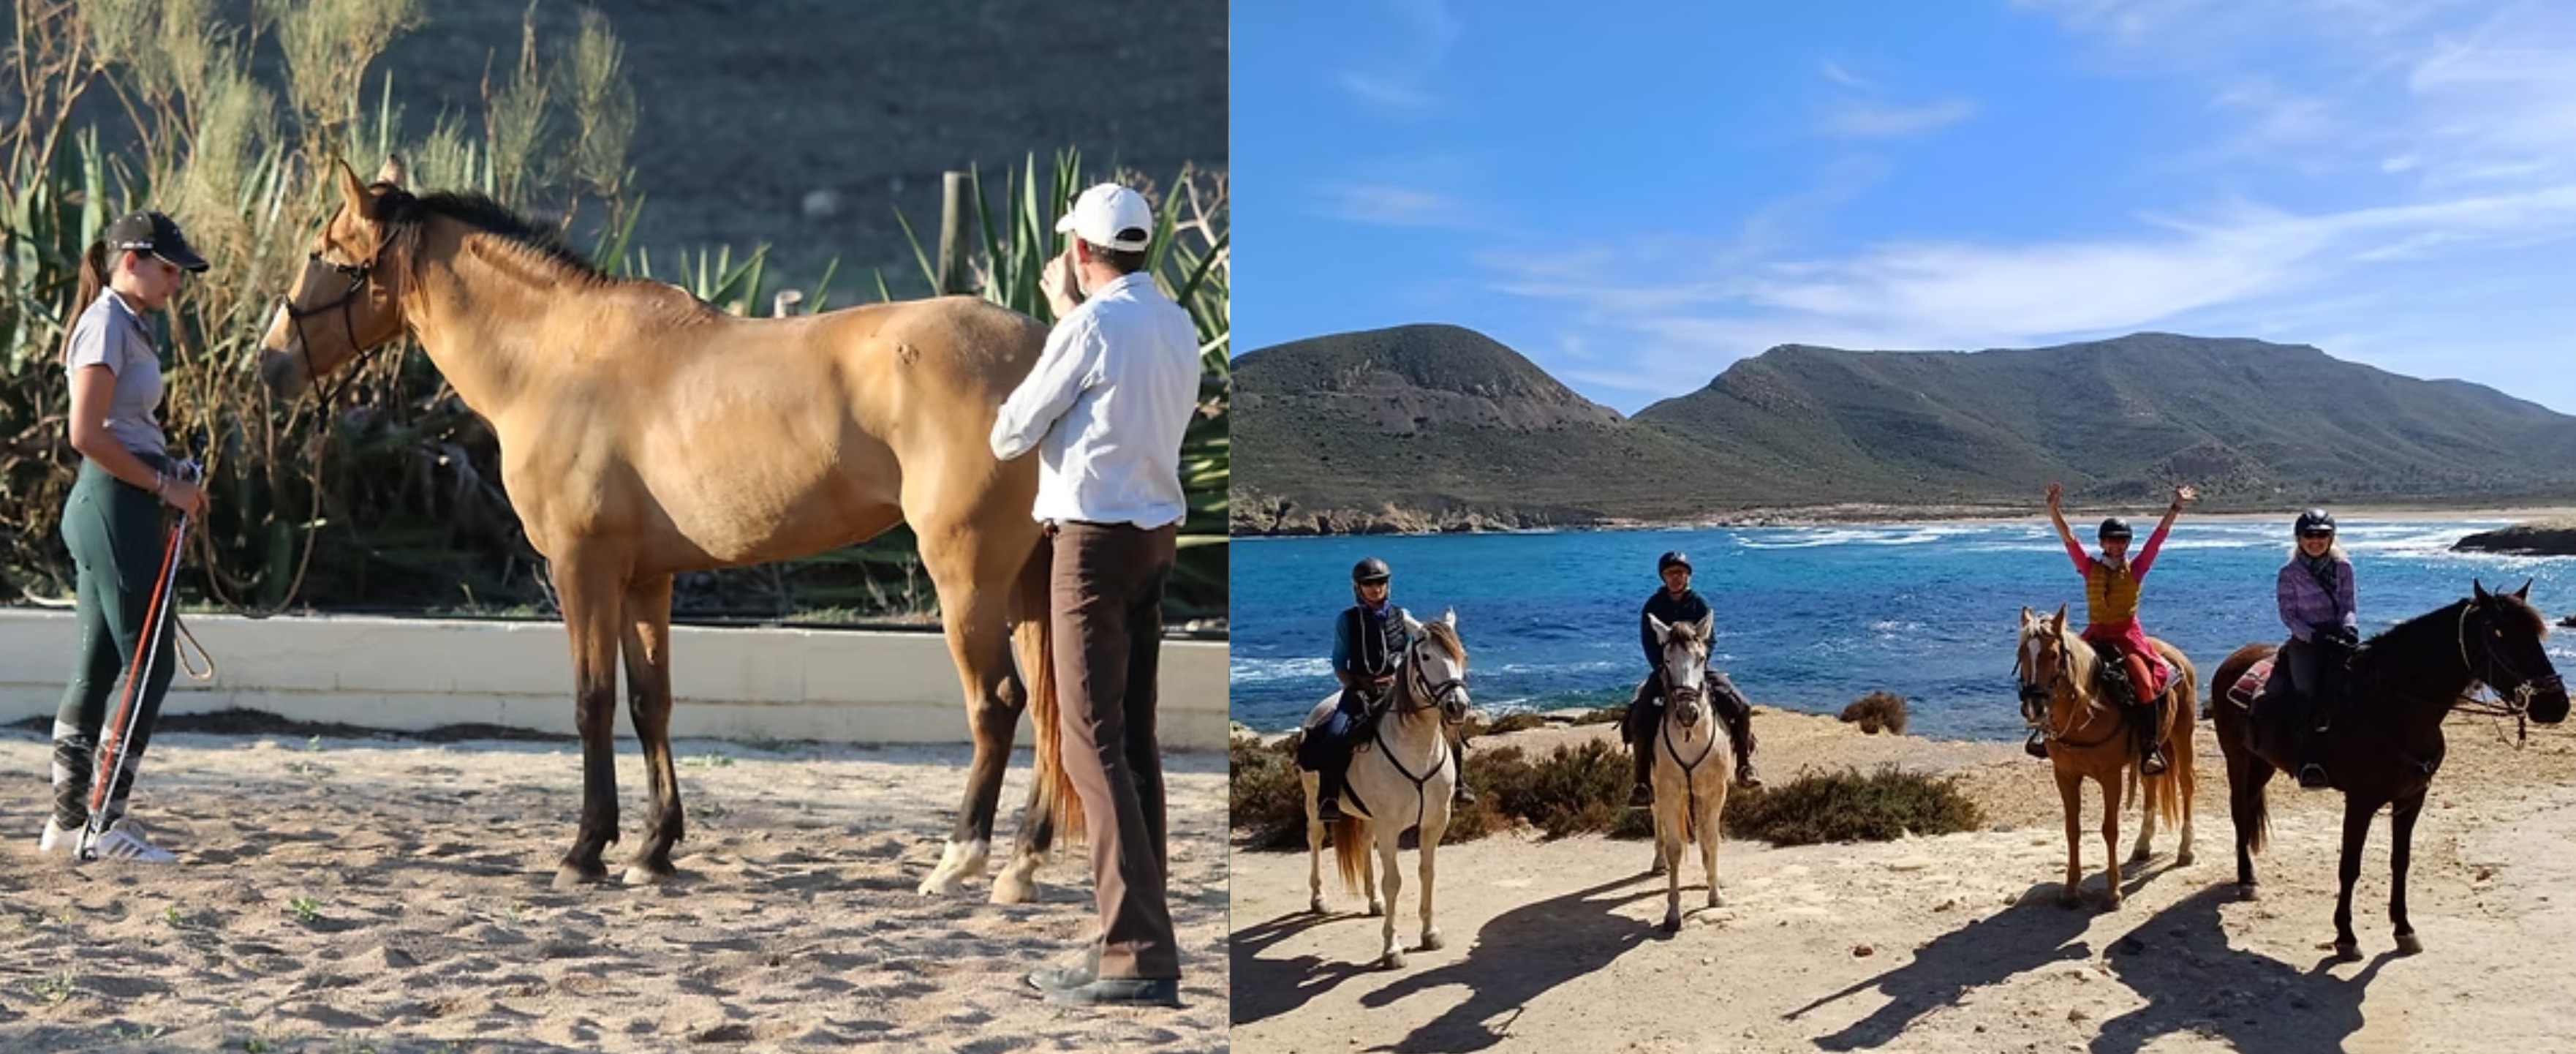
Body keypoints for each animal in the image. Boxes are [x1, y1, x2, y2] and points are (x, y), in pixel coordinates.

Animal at [254, 158, 1074, 899]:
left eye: (323, 253)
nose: (268, 363)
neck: (555, 357)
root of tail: (1042, 349)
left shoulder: (581, 568)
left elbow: (591, 701)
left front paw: (584, 850)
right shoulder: (647, 579)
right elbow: (652, 704)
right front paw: (653, 850)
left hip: (966, 577)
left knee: (997, 702)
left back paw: (960, 858)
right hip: (1027, 582)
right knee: (1049, 704)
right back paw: (1022, 863)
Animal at [1296, 609, 1469, 969]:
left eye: (1462, 655)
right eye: (1426, 656)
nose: (1457, 706)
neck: (1416, 747)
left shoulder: (1434, 824)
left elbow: (1427, 873)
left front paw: (1430, 934)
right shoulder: (1390, 827)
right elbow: (1395, 882)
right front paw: (1392, 949)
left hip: (1368, 817)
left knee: (1363, 843)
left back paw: (1373, 900)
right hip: (1314, 802)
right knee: (1315, 840)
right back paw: (1319, 898)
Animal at [1645, 611, 1728, 933]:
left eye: (1701, 658)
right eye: (1667, 660)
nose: (1687, 713)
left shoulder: (1715, 791)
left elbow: (1711, 839)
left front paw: (1715, 894)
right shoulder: (1669, 792)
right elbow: (1675, 849)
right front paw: (1672, 914)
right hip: (1655, 788)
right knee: (1656, 818)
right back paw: (1658, 862)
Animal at [2014, 604, 2198, 908]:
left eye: (2053, 654)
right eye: (2021, 654)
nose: (2034, 707)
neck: (2087, 711)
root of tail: (2176, 656)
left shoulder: (2111, 777)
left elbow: (2109, 830)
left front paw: (2113, 893)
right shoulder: (2065, 775)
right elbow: (2072, 829)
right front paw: (2070, 889)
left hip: (2183, 735)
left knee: (2187, 784)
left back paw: (2185, 850)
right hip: (2150, 753)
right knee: (2151, 784)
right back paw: (2143, 843)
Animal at [2211, 580, 2568, 959]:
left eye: (2535, 634)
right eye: (2498, 633)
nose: (2557, 704)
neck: (2393, 709)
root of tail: (2233, 661)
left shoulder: (2412, 798)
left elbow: (2401, 862)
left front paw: (2404, 929)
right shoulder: (2360, 801)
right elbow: (2350, 867)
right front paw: (2346, 936)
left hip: (2263, 763)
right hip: (2238, 760)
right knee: (2239, 813)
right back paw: (2246, 880)